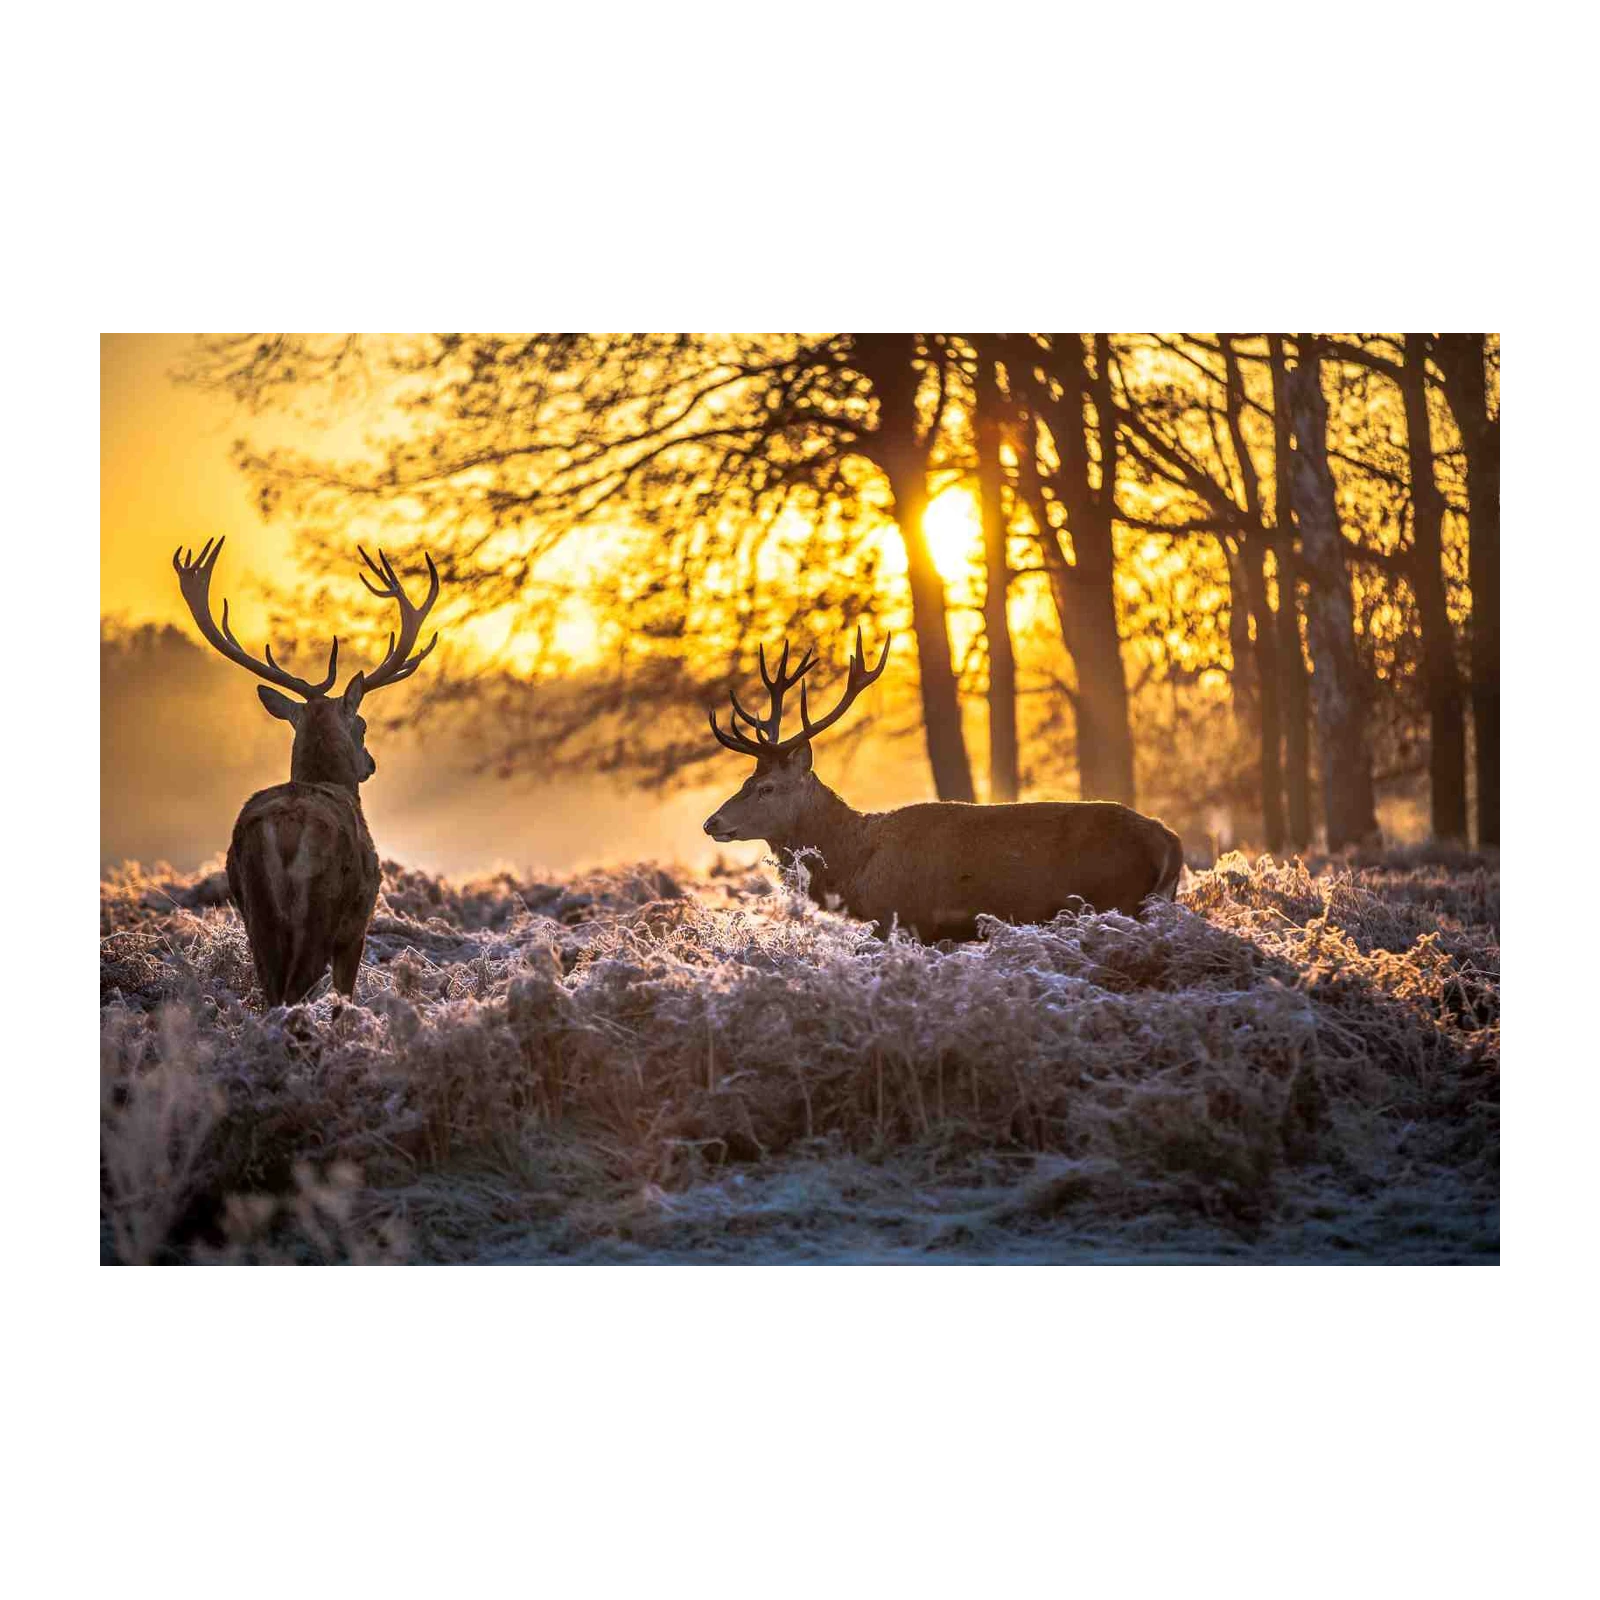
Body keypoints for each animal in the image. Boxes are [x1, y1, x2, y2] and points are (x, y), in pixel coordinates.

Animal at [172, 537, 441, 1007]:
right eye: (362, 724)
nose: (370, 763)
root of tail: (285, 830)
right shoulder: (359, 921)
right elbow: (344, 995)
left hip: (254, 909)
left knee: (271, 990)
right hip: (322, 908)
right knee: (296, 988)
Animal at [703, 628, 1185, 941]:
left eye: (767, 788)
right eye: (746, 778)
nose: (712, 823)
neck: (855, 867)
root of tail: (1168, 839)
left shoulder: (902, 918)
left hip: (1114, 899)